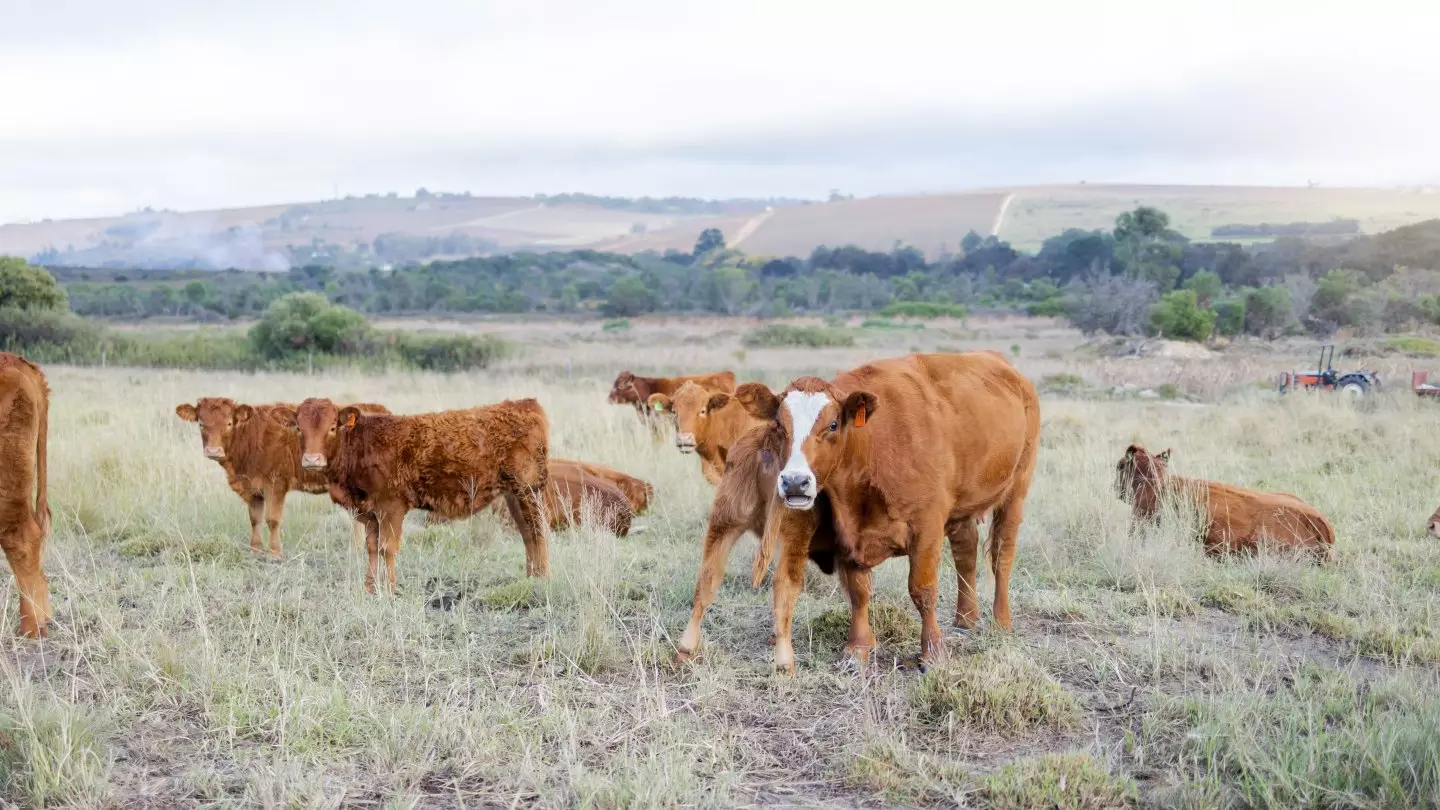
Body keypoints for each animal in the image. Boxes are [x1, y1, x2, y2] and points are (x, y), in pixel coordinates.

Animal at [177, 394, 391, 553]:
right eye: (201, 424)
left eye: (229, 423)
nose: (213, 451)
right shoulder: (253, 488)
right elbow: (255, 518)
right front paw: (255, 550)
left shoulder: (276, 484)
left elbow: (273, 519)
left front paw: (274, 553)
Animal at [273, 394, 550, 590]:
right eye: (299, 428)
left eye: (332, 427)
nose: (312, 459)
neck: (362, 446)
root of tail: (523, 404)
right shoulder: (370, 512)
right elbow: (372, 548)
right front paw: (370, 588)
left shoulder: (391, 507)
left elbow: (388, 548)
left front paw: (390, 589)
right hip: (514, 494)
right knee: (527, 533)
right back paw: (530, 577)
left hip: (528, 489)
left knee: (538, 530)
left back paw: (543, 578)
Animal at [725, 350, 1042, 671]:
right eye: (779, 425)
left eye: (833, 424)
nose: (794, 482)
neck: (871, 447)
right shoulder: (848, 532)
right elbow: (858, 592)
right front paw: (857, 649)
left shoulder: (927, 527)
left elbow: (923, 590)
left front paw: (933, 652)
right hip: (962, 505)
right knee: (966, 550)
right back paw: (965, 618)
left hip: (1016, 489)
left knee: (1002, 555)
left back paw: (1001, 621)